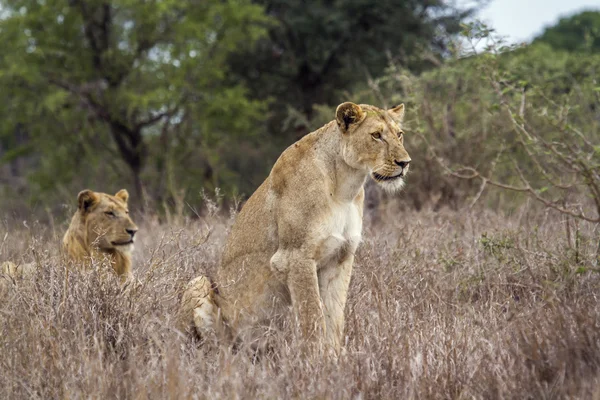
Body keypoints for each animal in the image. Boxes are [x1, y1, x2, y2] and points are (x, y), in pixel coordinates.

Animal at [180, 102, 410, 350]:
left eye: (399, 134)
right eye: (376, 135)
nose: (405, 163)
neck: (345, 186)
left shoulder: (341, 256)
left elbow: (334, 318)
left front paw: (336, 358)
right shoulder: (295, 257)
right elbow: (312, 317)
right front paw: (316, 359)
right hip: (199, 284)